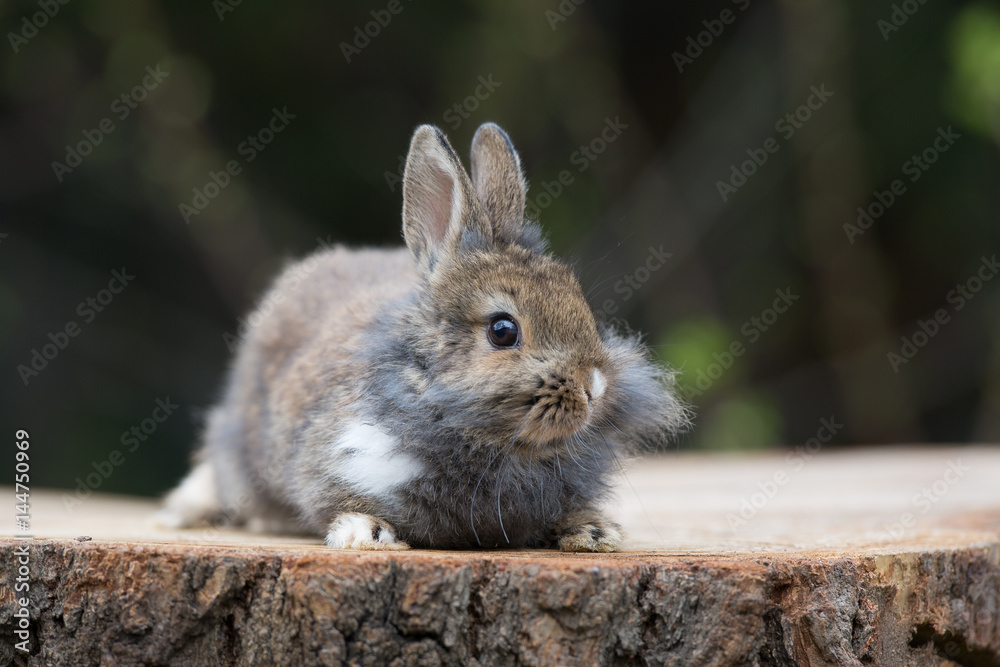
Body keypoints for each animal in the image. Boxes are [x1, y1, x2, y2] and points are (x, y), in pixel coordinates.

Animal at [158, 122, 689, 551]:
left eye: (581, 304)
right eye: (503, 331)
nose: (593, 386)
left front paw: (594, 532)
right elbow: (337, 503)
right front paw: (366, 535)